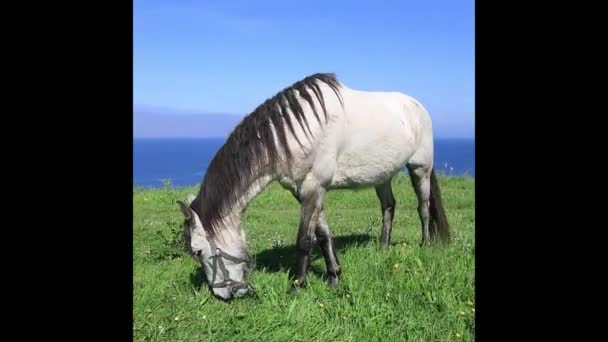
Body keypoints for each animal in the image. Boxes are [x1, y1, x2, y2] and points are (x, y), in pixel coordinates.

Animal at [177, 72, 452, 300]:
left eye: (198, 251)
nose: (222, 295)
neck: (296, 132)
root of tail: (418, 107)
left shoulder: (314, 187)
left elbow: (304, 240)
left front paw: (298, 285)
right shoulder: (304, 191)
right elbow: (322, 234)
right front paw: (334, 276)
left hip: (420, 169)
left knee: (423, 208)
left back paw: (426, 245)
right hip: (382, 176)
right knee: (388, 207)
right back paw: (383, 248)